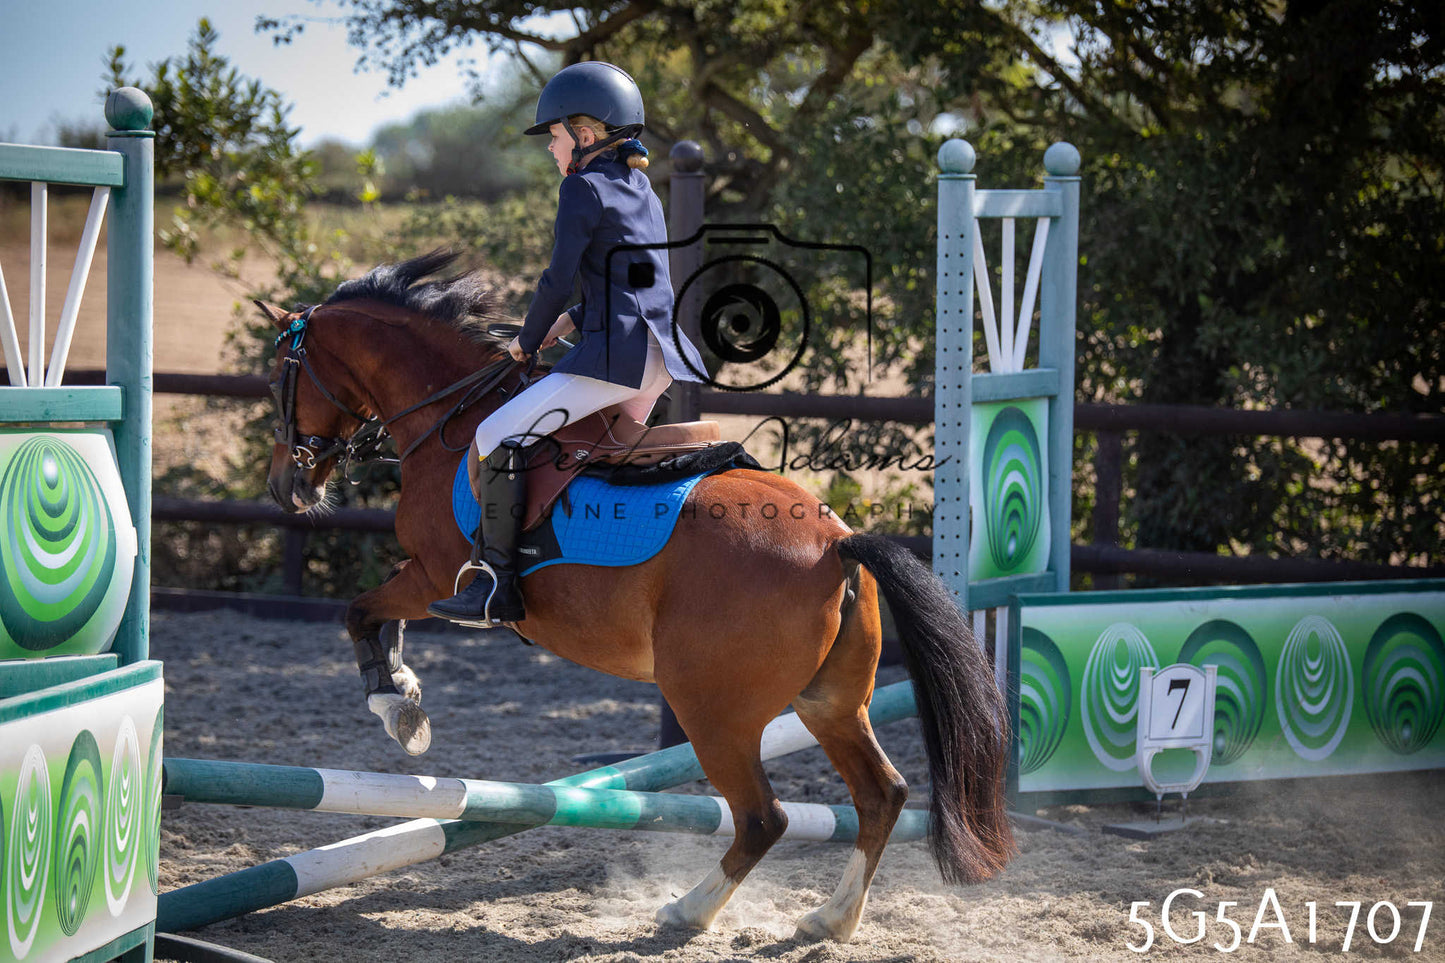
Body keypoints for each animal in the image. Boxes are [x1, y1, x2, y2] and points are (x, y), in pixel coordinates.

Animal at [256, 250, 1013, 941]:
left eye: (278, 378)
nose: (286, 486)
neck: (452, 413)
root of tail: (836, 542)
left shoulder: (435, 576)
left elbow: (362, 611)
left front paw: (396, 706)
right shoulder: (423, 575)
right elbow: (375, 617)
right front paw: (405, 693)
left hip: (713, 711)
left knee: (763, 816)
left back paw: (687, 910)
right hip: (830, 702)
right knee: (880, 795)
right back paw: (829, 918)